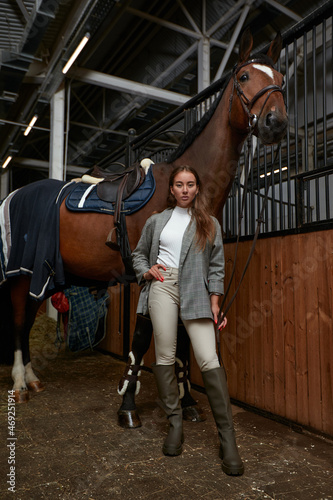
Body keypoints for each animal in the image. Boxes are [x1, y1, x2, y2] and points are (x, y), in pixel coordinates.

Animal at [0, 33, 286, 414]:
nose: (275, 123)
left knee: (28, 318)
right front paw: (129, 402)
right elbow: (144, 332)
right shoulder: (149, 271)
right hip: (23, 274)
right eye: (243, 77)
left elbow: (182, 335)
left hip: (39, 277)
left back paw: (33, 379)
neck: (181, 192)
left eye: (280, 79)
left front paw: (187, 401)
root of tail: (13, 196)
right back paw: (19, 383)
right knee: (19, 321)